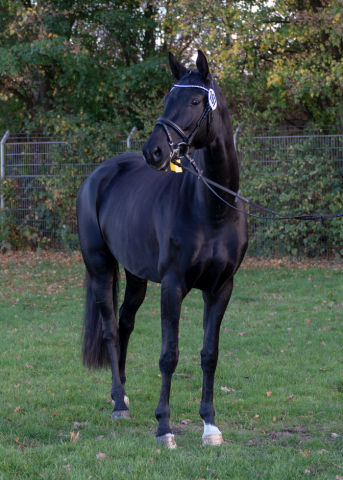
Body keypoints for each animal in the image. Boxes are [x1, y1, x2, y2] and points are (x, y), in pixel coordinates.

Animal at [76, 50, 249, 448]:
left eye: (195, 101)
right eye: (167, 98)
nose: (153, 150)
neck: (212, 209)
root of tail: (98, 176)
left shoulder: (221, 289)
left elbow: (209, 354)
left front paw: (210, 426)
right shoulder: (172, 287)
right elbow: (169, 356)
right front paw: (164, 428)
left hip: (136, 276)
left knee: (125, 322)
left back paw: (123, 394)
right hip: (100, 268)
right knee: (110, 328)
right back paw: (118, 403)